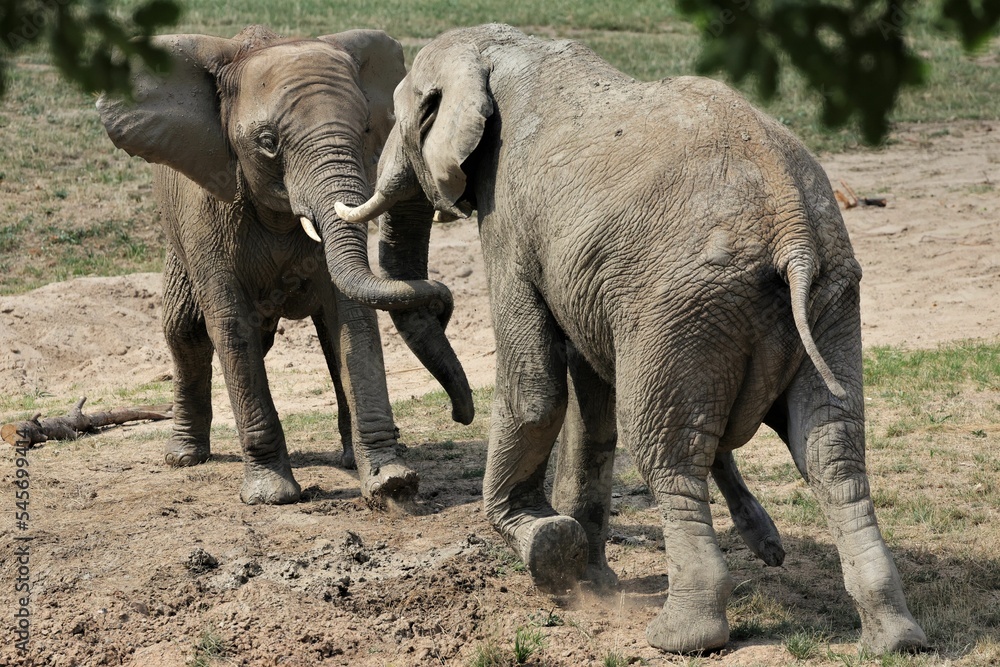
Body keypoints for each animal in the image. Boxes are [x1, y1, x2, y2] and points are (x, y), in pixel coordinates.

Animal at [96, 25, 473, 506]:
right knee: (186, 333)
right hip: (177, 245)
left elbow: (351, 319)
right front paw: (271, 495)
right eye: (268, 143)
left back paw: (348, 458)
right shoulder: (206, 213)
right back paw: (183, 457)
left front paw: (391, 482)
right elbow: (230, 325)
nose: (461, 415)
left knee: (321, 343)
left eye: (367, 129)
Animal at [334, 24, 927, 654]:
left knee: (668, 454)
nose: (458, 414)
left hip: (687, 308)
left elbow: (535, 390)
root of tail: (791, 230)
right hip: (827, 296)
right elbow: (591, 406)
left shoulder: (509, 219)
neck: (507, 46)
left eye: (401, 120)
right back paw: (894, 639)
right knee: (831, 451)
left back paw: (679, 636)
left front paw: (545, 548)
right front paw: (590, 581)